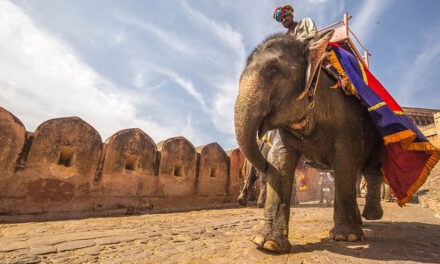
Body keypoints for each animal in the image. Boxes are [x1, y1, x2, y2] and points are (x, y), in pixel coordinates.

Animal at [235, 29, 384, 253]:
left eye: (273, 70)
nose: (263, 165)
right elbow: (280, 161)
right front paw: (267, 244)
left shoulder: (347, 122)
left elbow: (345, 163)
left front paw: (346, 237)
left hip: (376, 131)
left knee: (371, 169)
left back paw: (371, 216)